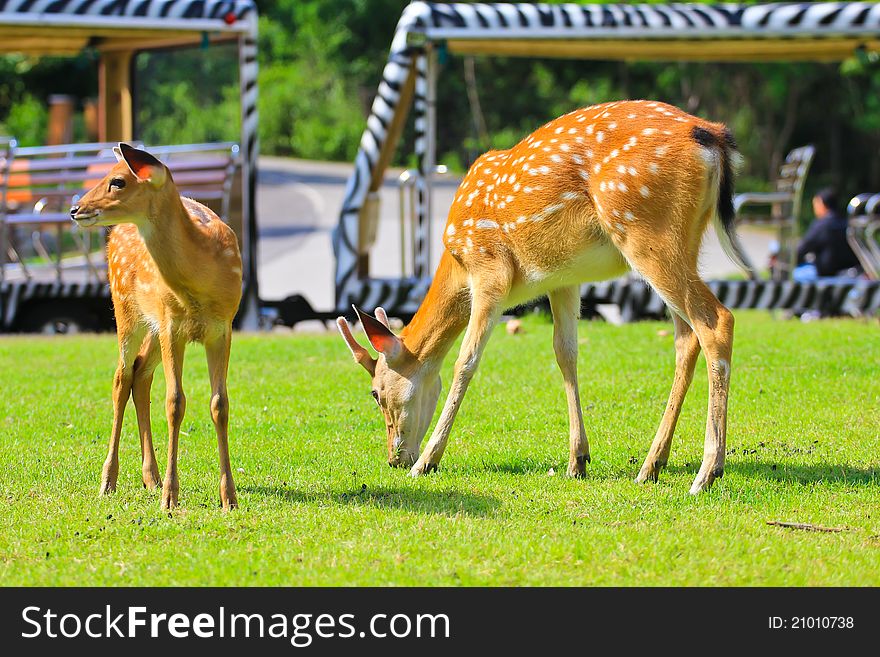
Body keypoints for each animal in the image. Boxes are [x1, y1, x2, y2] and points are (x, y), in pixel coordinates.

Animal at [71, 144, 242, 510]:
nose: (75, 208)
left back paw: (151, 477)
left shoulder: (223, 327)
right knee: (121, 377)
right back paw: (109, 481)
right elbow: (175, 402)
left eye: (117, 181)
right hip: (127, 309)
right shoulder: (172, 325)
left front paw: (229, 498)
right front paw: (170, 499)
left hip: (152, 326)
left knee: (140, 375)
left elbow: (220, 404)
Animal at [340, 98, 752, 492]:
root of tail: (711, 136)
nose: (394, 458)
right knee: (686, 338)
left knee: (717, 320)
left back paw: (707, 472)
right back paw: (652, 465)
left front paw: (427, 462)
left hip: (645, 229)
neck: (456, 258)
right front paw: (577, 460)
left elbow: (466, 361)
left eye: (376, 393)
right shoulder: (562, 279)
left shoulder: (489, 271)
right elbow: (565, 353)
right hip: (684, 240)